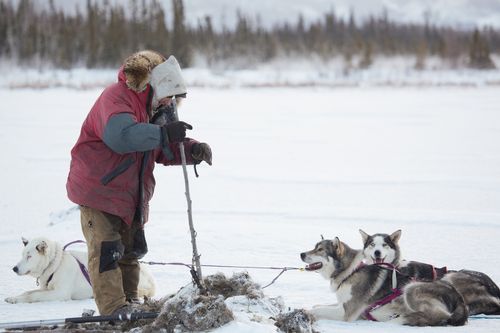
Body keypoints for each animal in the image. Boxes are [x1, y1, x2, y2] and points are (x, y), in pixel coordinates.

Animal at [3, 236, 155, 304]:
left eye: (29, 256)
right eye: (23, 255)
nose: (14, 268)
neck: (56, 265)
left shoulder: (60, 293)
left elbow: (33, 296)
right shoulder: (46, 289)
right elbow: (28, 292)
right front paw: (14, 298)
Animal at [300, 236, 468, 324]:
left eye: (320, 250)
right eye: (315, 247)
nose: (301, 254)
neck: (351, 272)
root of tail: (459, 297)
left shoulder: (346, 312)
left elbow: (317, 309)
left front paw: (305, 312)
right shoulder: (342, 303)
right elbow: (319, 305)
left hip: (411, 288)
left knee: (440, 317)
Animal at [360, 230, 500, 316]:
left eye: (384, 245)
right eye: (372, 244)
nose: (377, 252)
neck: (395, 266)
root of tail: (495, 290)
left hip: (452, 277)